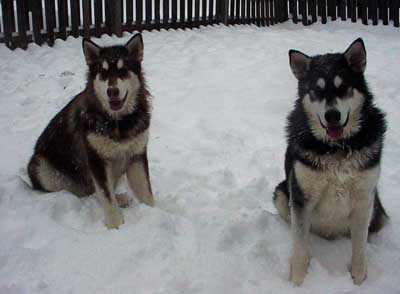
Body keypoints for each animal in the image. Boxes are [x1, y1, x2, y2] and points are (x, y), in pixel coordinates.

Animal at [27, 33, 153, 229]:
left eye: (123, 70)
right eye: (103, 72)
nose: (112, 91)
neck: (117, 122)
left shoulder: (136, 154)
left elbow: (146, 192)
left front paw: (158, 214)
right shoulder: (96, 159)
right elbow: (106, 196)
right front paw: (115, 226)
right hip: (42, 169)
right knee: (92, 192)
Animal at [274, 38, 386, 284]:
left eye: (343, 87)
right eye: (316, 90)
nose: (332, 115)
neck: (336, 148)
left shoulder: (364, 198)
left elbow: (359, 249)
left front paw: (358, 281)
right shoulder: (301, 196)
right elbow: (299, 247)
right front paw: (297, 283)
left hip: (375, 205)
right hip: (282, 193)